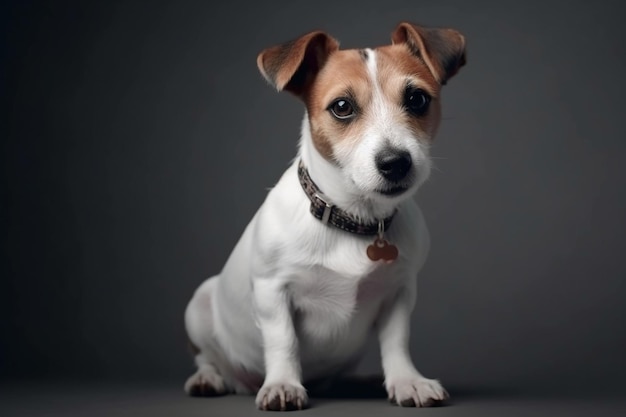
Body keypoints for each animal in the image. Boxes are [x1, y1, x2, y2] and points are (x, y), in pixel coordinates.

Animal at [183, 22, 466, 410]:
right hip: (199, 303)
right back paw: (208, 378)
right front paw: (283, 384)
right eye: (342, 107)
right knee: (208, 357)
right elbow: (283, 341)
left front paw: (406, 381)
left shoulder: (399, 292)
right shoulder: (273, 291)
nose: (395, 162)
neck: (355, 219)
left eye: (417, 99)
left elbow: (396, 342)